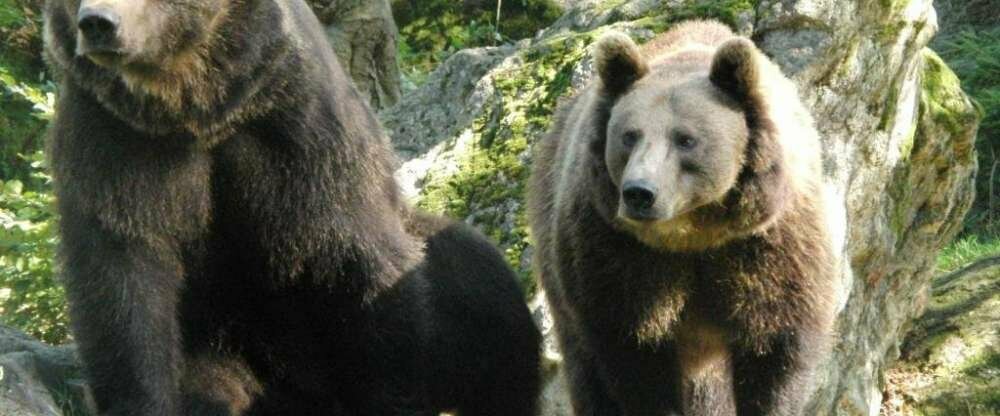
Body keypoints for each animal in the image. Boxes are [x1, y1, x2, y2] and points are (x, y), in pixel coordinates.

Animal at [42, 0, 540, 415]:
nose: (98, 23)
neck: (199, 106)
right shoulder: (115, 141)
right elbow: (125, 278)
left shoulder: (300, 126)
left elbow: (357, 257)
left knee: (475, 271)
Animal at [527, 20, 836, 416]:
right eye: (629, 135)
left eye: (686, 139)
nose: (639, 192)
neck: (693, 233)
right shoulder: (617, 253)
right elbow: (633, 353)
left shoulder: (769, 247)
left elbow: (776, 349)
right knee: (585, 369)